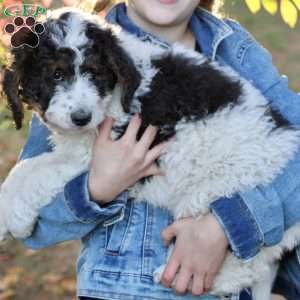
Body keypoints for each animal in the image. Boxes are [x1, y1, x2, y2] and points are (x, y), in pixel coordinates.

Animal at [0, 8, 300, 298]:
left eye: (94, 73)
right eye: (56, 74)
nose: (81, 118)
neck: (115, 91)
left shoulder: (95, 152)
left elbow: (34, 170)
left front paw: (14, 220)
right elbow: (29, 167)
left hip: (216, 191)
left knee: (248, 262)